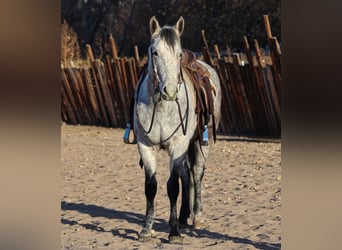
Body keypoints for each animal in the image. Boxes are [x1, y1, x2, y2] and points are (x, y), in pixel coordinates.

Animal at [131, 16, 222, 243]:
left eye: (178, 54)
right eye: (155, 52)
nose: (170, 91)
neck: (162, 106)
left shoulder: (177, 146)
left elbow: (172, 187)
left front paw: (173, 233)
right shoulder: (145, 146)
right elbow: (151, 187)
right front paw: (146, 229)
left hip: (201, 142)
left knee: (196, 173)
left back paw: (196, 216)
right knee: (186, 175)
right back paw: (183, 216)